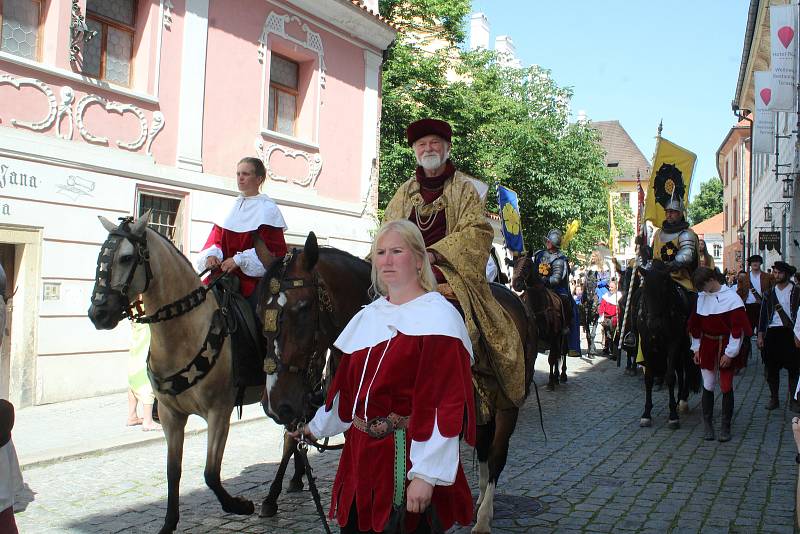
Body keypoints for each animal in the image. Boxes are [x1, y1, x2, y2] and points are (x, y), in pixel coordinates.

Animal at [87, 215, 300, 534]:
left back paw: (271, 498)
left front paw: (239, 506)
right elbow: (172, 471)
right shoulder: (171, 414)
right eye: (100, 256)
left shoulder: (219, 411)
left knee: (290, 438)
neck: (184, 332)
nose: (98, 313)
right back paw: (297, 479)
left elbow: (211, 473)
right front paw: (168, 524)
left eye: (125, 257)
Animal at [512, 253, 568, 392]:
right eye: (514, 264)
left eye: (527, 266)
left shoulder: (553, 336)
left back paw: (562, 375)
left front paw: (551, 382)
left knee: (562, 352)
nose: (516, 284)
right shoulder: (534, 338)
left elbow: (551, 359)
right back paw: (557, 376)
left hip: (563, 335)